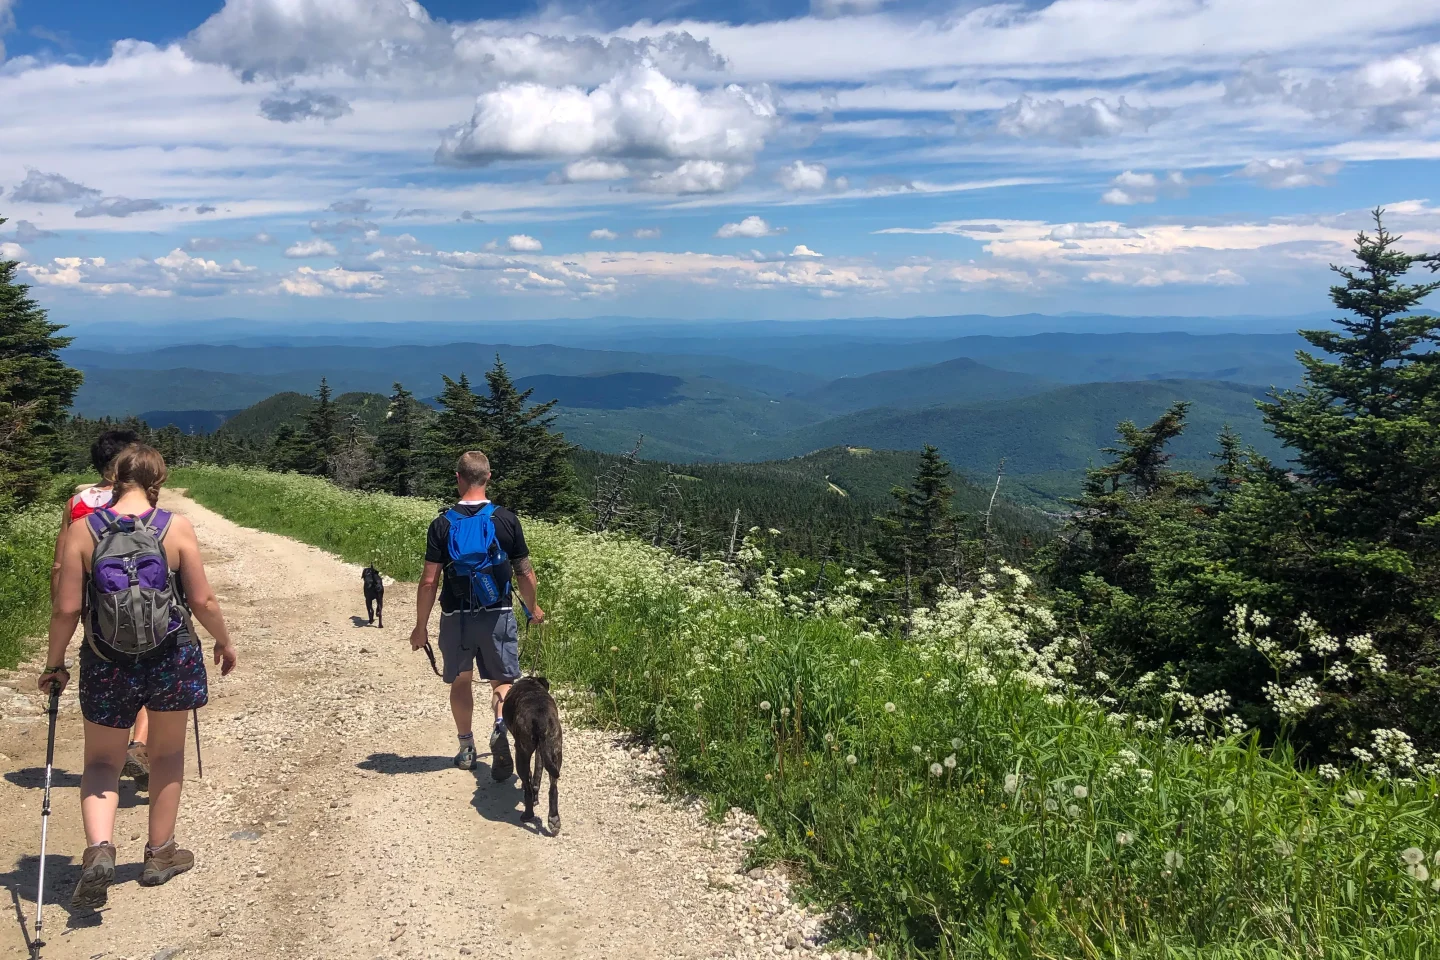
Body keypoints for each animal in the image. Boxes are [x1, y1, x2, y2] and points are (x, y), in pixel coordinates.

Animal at [498, 676, 558, 834]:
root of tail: (540, 719)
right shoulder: (541, 751)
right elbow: (537, 774)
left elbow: (531, 777)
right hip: (555, 749)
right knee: (553, 788)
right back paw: (554, 819)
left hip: (521, 754)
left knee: (527, 784)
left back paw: (527, 814)